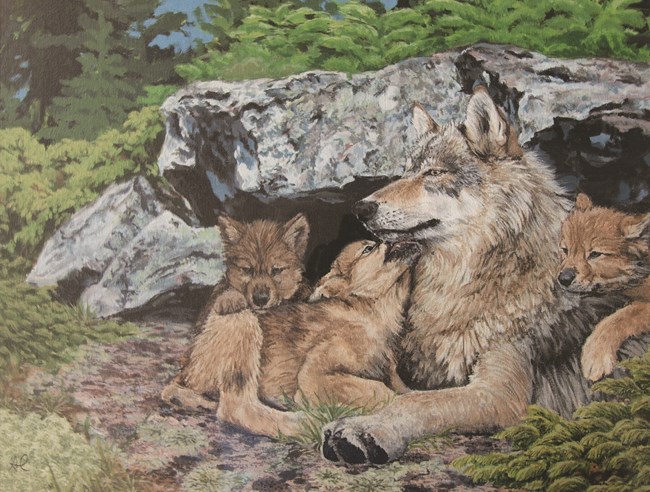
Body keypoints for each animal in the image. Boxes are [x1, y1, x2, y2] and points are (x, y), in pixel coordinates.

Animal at [177, 239, 417, 437]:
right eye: (369, 248)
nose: (399, 237)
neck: (373, 311)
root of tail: (189, 366)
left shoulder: (390, 370)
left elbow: (400, 387)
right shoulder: (313, 374)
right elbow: (379, 390)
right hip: (243, 322)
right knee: (237, 407)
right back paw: (307, 421)